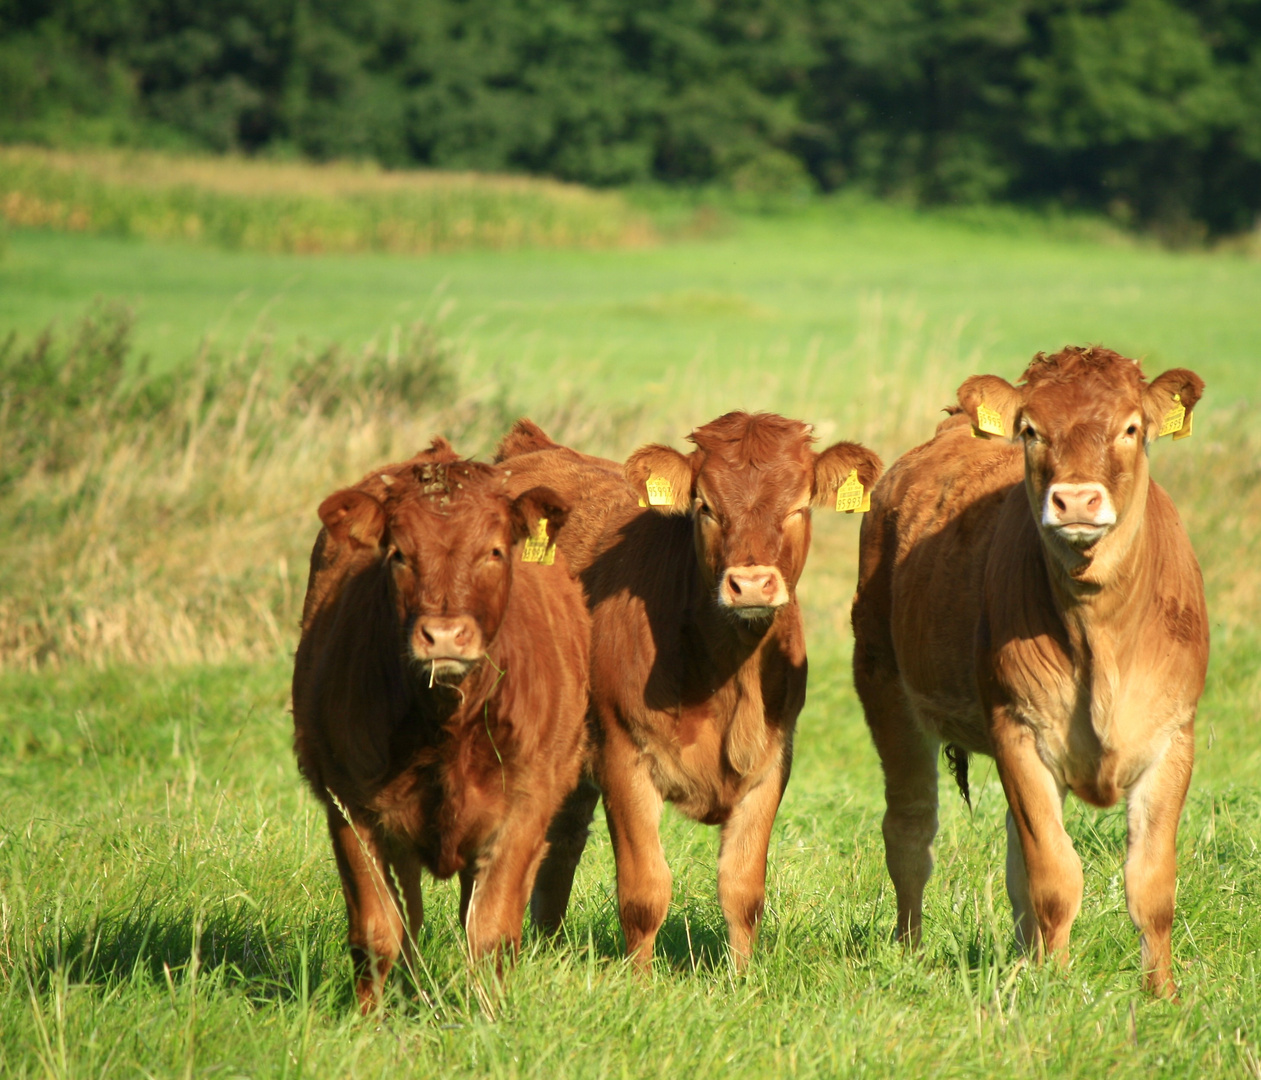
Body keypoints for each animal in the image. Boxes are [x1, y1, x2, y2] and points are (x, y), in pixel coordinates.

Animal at [293, 441, 590, 1014]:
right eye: (398, 554)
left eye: (494, 551)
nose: (445, 635)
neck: (446, 724)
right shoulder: (349, 805)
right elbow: (376, 931)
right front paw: (367, 1021)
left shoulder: (525, 804)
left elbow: (491, 932)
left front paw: (489, 1017)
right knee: (408, 918)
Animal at [496, 416, 882, 968]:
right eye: (706, 507)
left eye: (798, 507)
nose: (751, 584)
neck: (727, 678)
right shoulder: (622, 756)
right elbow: (644, 891)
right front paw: (638, 980)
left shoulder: (772, 762)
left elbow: (743, 889)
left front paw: (742, 978)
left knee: (559, 845)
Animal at [852, 345, 1205, 994]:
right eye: (1031, 430)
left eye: (1131, 428)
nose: (1076, 501)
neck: (1101, 632)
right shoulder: (1018, 729)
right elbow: (1056, 876)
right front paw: (1060, 990)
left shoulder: (1173, 736)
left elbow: (1150, 883)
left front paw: (1161, 993)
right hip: (885, 688)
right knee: (910, 829)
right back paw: (911, 953)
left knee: (1016, 858)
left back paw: (1023, 959)